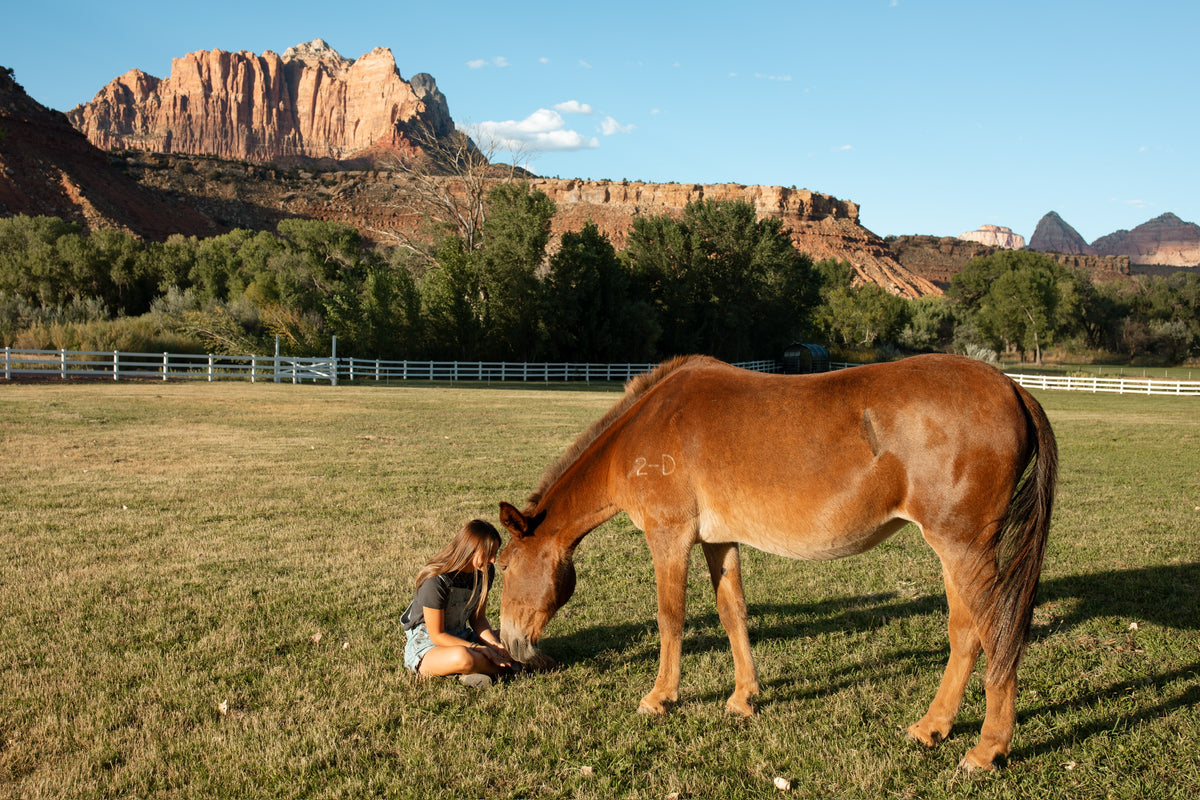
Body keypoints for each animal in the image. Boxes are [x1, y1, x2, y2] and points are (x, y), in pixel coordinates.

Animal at [497, 354, 1056, 771]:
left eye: (502, 565)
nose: (512, 645)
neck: (646, 429)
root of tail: (1011, 388)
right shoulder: (718, 541)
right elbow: (733, 614)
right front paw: (744, 699)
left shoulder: (669, 537)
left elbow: (670, 618)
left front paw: (660, 698)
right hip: (955, 552)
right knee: (966, 635)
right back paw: (932, 727)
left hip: (965, 548)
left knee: (997, 632)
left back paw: (988, 748)